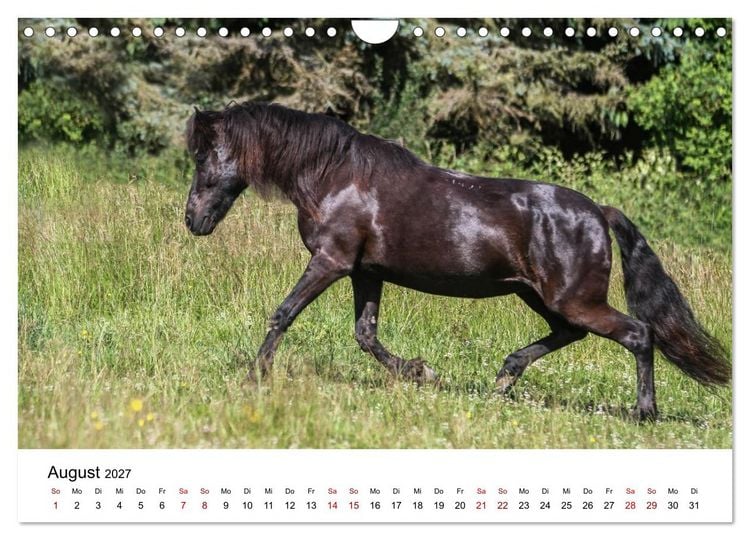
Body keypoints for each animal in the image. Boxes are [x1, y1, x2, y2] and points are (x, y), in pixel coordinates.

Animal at [183, 101, 730, 420]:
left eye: (204, 154)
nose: (193, 219)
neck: (334, 175)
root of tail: (599, 211)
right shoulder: (365, 272)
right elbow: (366, 335)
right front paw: (420, 372)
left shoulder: (331, 262)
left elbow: (283, 313)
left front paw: (256, 375)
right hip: (539, 295)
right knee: (570, 334)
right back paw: (504, 379)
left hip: (573, 298)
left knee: (638, 334)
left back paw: (644, 413)